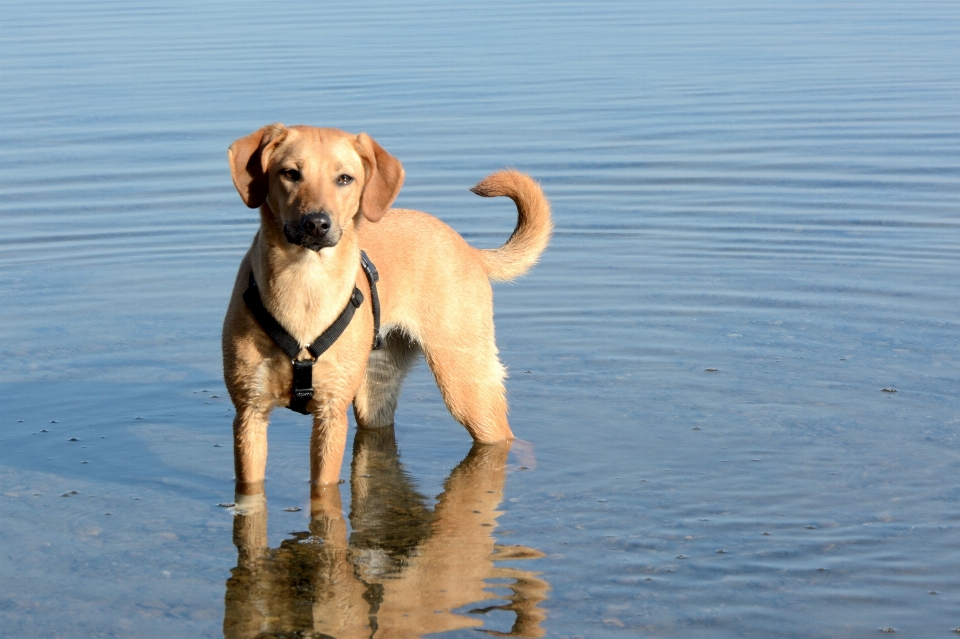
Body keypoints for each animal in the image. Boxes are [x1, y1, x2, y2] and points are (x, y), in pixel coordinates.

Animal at [222, 125, 552, 496]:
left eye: (345, 178)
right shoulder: (249, 413)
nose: (317, 224)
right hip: (375, 390)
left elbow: (323, 490)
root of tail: (469, 249)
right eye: (291, 174)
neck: (304, 286)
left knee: (504, 435)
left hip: (465, 383)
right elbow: (250, 487)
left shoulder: (331, 413)